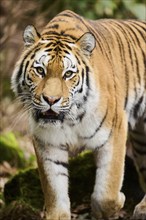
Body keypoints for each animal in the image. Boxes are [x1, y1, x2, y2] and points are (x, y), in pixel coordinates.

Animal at [11, 9, 146, 218]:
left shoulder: (115, 130)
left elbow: (107, 192)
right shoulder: (48, 143)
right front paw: (57, 214)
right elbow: (54, 190)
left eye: (68, 74)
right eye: (40, 70)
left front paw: (118, 201)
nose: (51, 100)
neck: (70, 119)